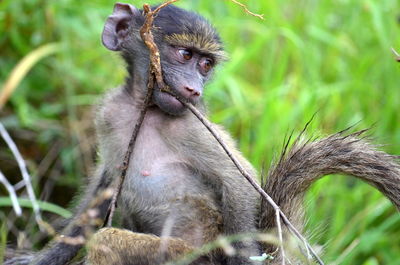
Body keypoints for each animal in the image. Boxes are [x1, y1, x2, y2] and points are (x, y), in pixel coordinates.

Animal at [4, 2, 400, 264]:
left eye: (206, 64)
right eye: (184, 55)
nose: (194, 89)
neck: (145, 107)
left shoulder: (190, 125)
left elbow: (237, 181)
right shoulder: (109, 113)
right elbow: (103, 188)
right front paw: (43, 258)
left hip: (186, 257)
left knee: (108, 241)